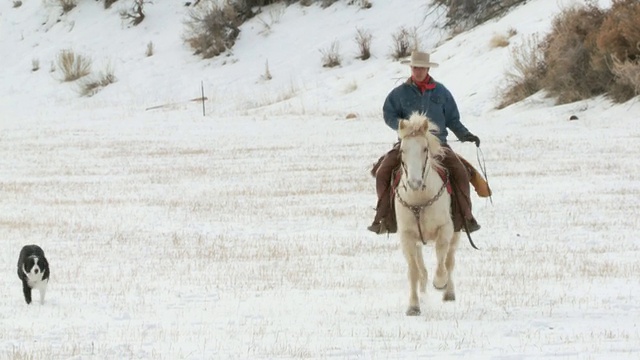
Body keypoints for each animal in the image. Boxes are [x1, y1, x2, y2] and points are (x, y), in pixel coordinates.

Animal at [396, 112, 460, 316]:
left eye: (425, 149)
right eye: (402, 150)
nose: (414, 183)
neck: (420, 199)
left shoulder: (445, 229)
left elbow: (442, 258)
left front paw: (440, 283)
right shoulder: (407, 237)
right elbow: (414, 271)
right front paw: (414, 306)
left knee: (450, 260)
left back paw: (448, 293)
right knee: (422, 268)